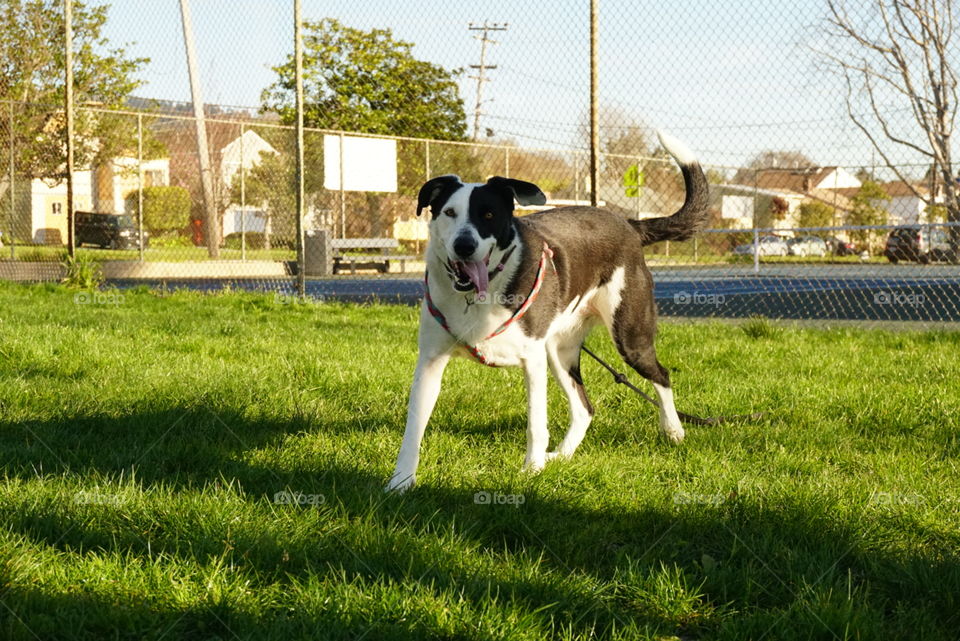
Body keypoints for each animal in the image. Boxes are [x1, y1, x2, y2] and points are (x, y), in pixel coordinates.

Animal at [386, 130, 708, 490]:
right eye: (449, 212)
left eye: (488, 215)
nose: (464, 246)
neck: (481, 294)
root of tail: (629, 224)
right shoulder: (430, 362)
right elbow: (414, 427)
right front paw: (401, 481)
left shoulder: (532, 361)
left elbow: (536, 424)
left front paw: (532, 470)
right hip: (560, 350)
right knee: (584, 409)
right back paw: (564, 456)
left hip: (629, 337)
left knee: (661, 376)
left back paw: (674, 430)